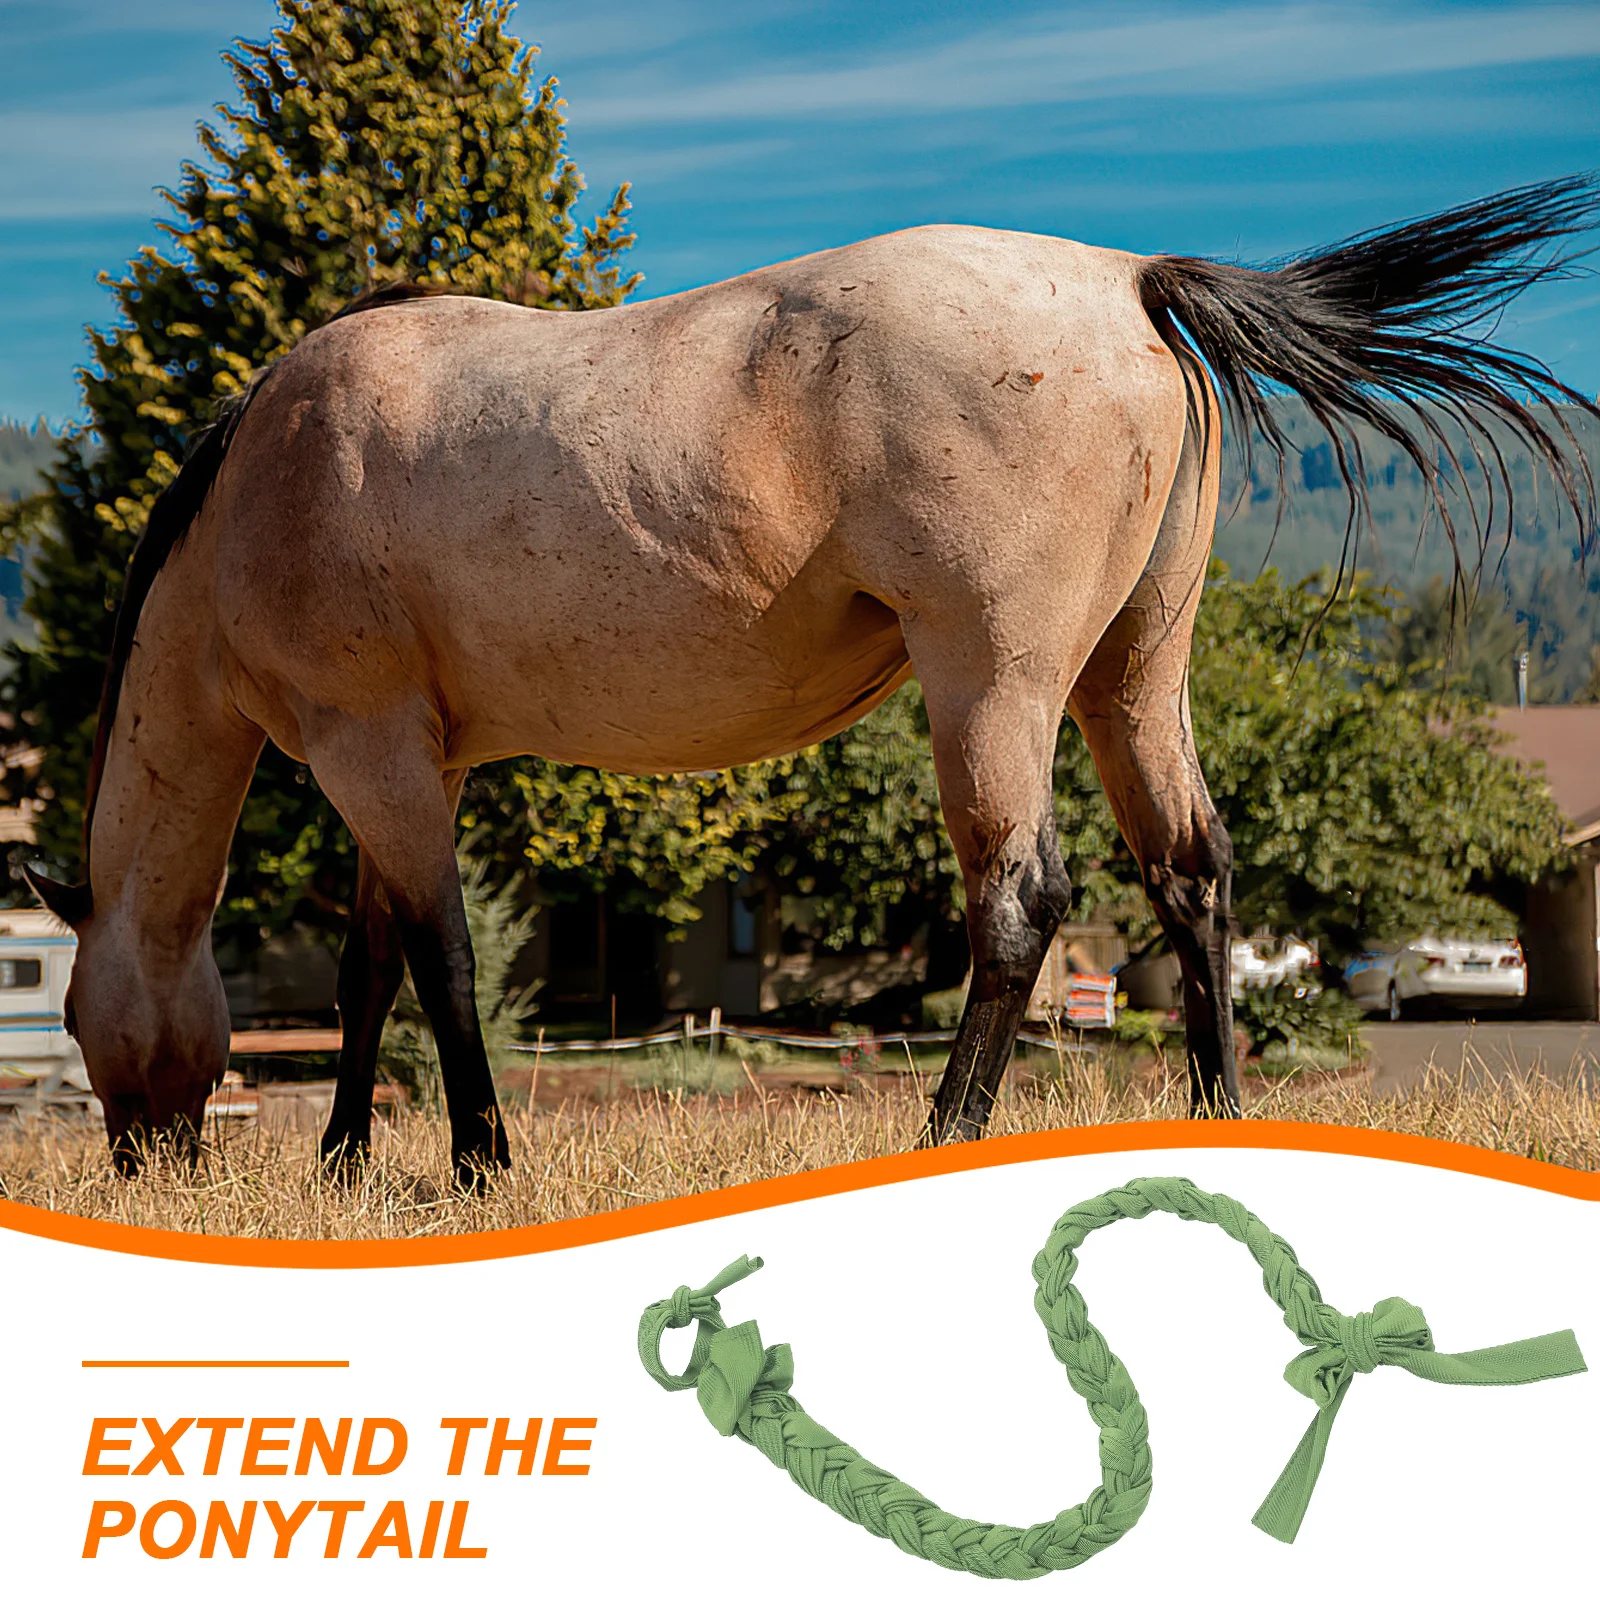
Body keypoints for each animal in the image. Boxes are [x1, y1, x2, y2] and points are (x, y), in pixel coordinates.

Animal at [26, 176, 1599, 1186]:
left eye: (73, 1015)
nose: (143, 1164)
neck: (267, 478)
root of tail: (1126, 284)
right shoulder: (412, 765)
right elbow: (369, 969)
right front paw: (347, 1163)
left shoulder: (375, 762)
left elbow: (440, 962)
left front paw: (472, 1164)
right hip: (1131, 678)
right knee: (1191, 873)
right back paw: (1216, 1125)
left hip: (993, 687)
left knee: (1020, 902)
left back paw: (943, 1137)